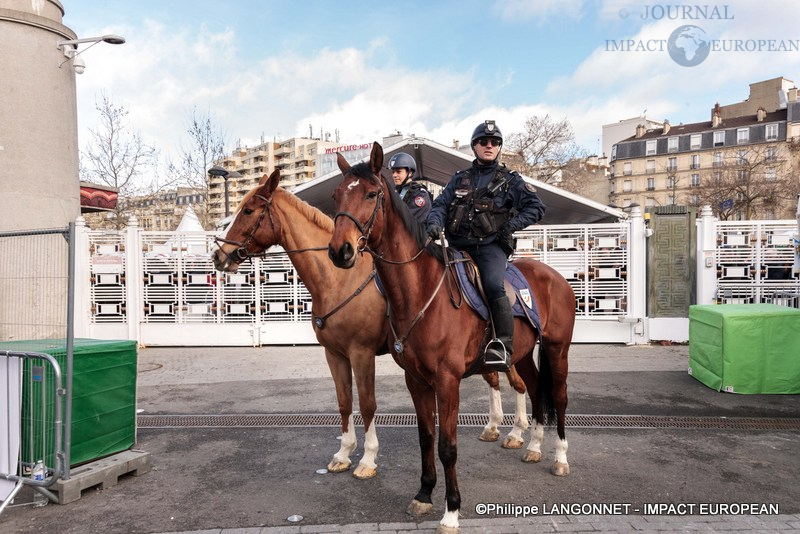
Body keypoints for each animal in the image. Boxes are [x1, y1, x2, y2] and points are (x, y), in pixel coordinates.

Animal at [212, 171, 532, 482]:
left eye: (248, 210)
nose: (219, 255)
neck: (338, 280)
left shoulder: (361, 353)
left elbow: (367, 404)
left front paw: (367, 458)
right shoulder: (334, 354)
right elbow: (344, 402)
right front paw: (343, 454)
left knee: (517, 382)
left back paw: (518, 432)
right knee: (495, 378)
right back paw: (494, 427)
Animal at [328, 144, 580, 532]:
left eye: (371, 194)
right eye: (337, 195)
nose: (340, 251)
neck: (421, 292)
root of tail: (554, 275)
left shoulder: (447, 381)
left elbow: (447, 445)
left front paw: (451, 510)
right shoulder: (416, 380)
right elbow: (426, 438)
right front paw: (423, 494)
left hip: (557, 349)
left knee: (560, 398)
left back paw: (561, 457)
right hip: (522, 355)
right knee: (537, 389)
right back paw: (534, 446)